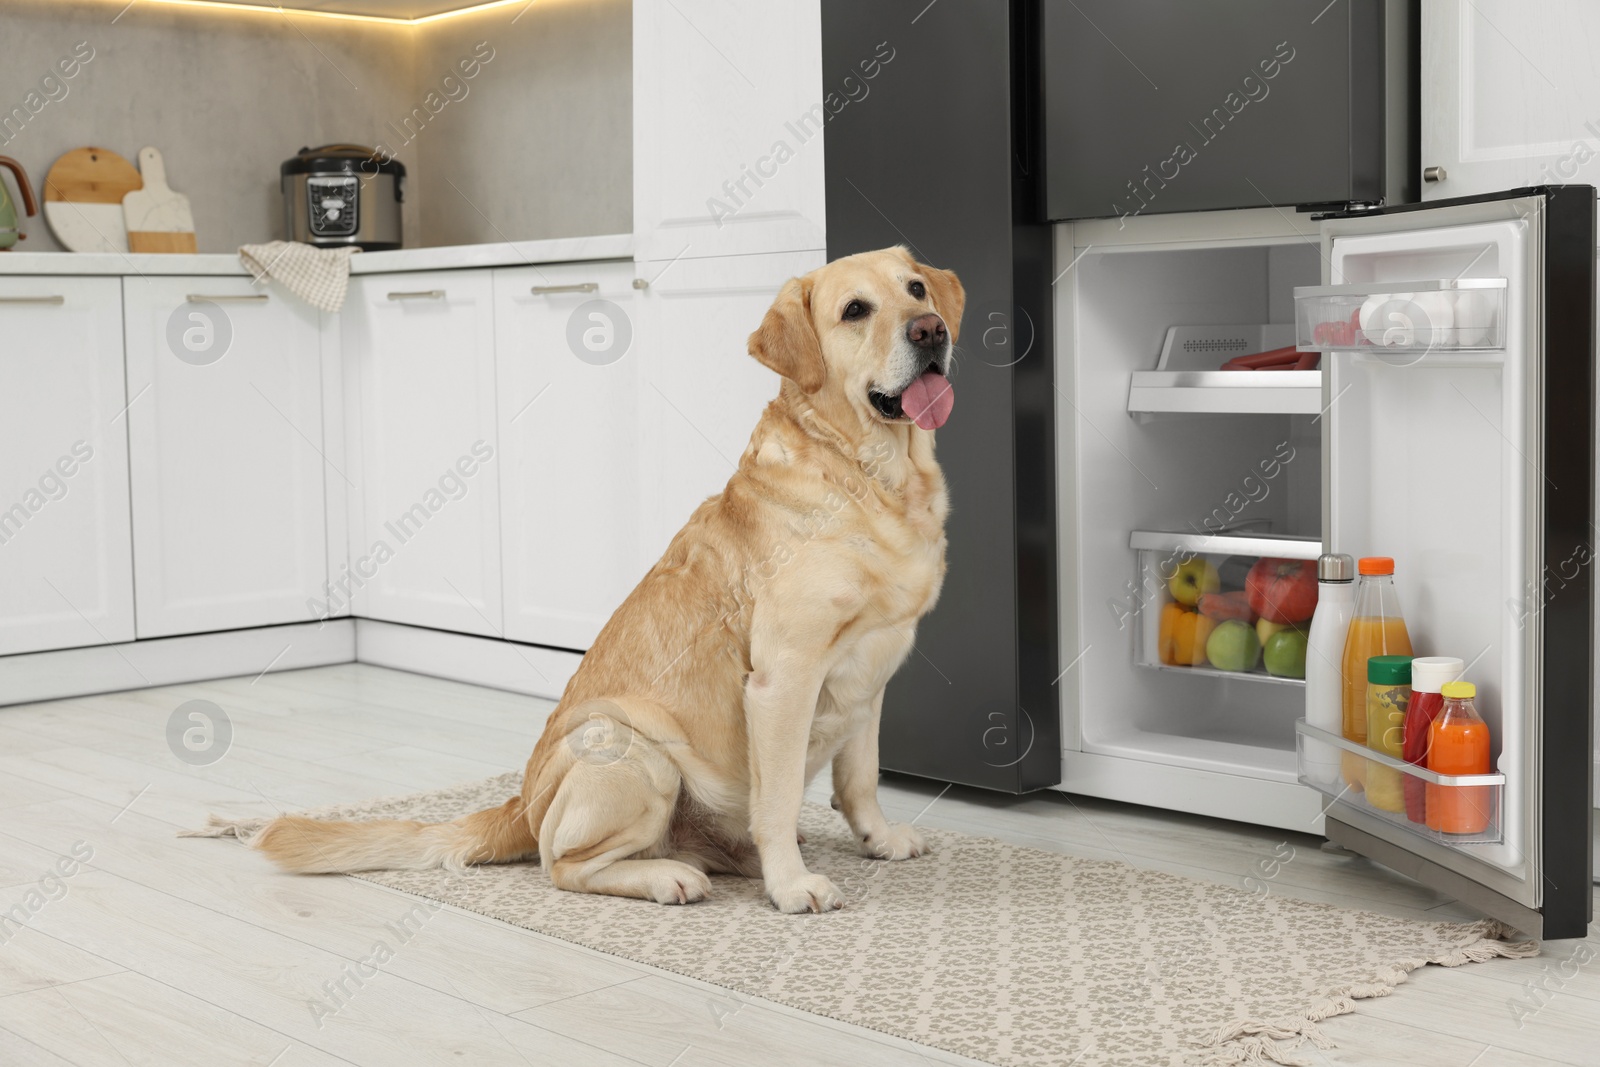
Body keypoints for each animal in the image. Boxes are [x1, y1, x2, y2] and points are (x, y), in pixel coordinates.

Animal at [256, 246, 960, 915]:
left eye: (916, 289)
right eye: (855, 311)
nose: (930, 330)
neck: (876, 476)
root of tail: (521, 805)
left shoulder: (870, 675)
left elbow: (861, 778)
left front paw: (880, 839)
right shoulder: (783, 677)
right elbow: (781, 799)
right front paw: (791, 886)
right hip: (631, 746)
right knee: (564, 865)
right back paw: (670, 876)